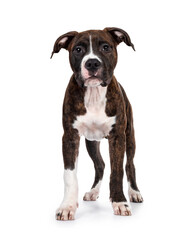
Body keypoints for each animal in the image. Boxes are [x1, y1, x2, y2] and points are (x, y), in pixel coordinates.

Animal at [51, 27, 143, 220]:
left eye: (106, 47)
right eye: (78, 49)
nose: (92, 63)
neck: (93, 94)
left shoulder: (118, 137)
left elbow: (117, 171)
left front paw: (119, 202)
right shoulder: (70, 137)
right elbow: (69, 174)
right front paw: (67, 206)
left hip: (130, 136)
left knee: (129, 164)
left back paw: (134, 192)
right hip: (91, 142)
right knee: (100, 165)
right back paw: (93, 191)